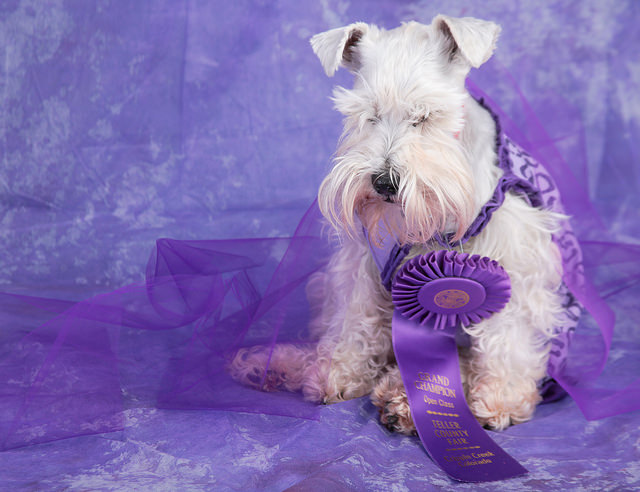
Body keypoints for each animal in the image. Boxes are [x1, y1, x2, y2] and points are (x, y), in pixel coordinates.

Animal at [229, 15, 564, 432]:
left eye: (425, 115)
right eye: (368, 115)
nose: (384, 183)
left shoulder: (511, 264)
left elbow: (506, 336)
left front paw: (500, 397)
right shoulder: (365, 264)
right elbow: (355, 321)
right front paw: (338, 371)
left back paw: (404, 401)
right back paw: (279, 364)